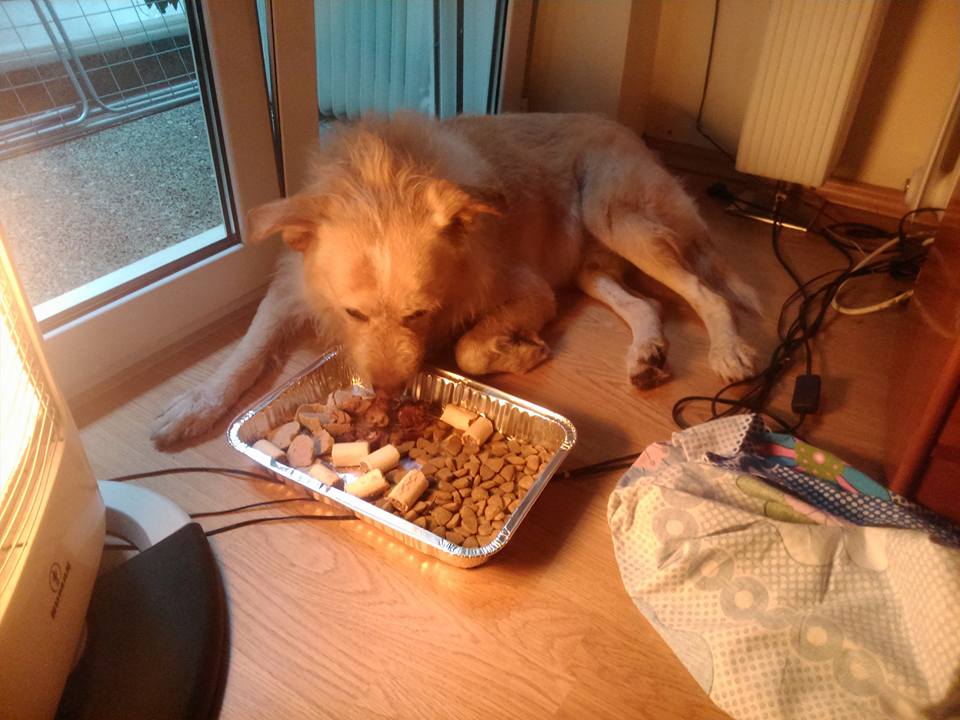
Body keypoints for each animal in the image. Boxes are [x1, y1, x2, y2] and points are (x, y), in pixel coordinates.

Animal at [151, 112, 759, 446]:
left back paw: (730, 350)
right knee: (646, 306)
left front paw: (517, 351)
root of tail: (631, 132)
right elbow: (246, 351)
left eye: (418, 313)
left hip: (616, 217)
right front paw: (196, 405)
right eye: (354, 314)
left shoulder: (529, 290)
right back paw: (647, 354)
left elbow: (468, 349)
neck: (388, 175)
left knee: (708, 292)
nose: (386, 394)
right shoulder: (291, 290)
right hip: (593, 266)